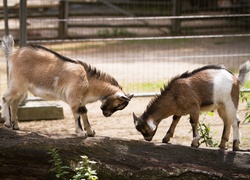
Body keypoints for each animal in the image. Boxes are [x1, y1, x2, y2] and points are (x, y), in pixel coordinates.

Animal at [0, 34, 134, 136]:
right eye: (118, 105)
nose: (107, 115)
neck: (88, 81)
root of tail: (12, 54)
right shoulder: (74, 99)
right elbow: (77, 114)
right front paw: (81, 133)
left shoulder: (81, 100)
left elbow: (84, 112)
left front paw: (91, 131)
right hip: (18, 83)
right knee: (6, 98)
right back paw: (7, 123)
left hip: (22, 89)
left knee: (14, 103)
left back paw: (16, 126)